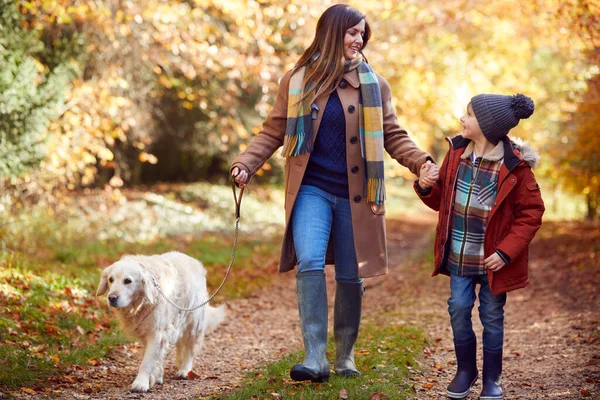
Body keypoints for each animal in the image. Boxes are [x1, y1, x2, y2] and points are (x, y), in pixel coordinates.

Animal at [96, 252, 227, 392]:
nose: (112, 298)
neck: (142, 301)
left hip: (193, 323)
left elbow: (147, 361)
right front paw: (154, 377)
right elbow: (153, 356)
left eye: (128, 281)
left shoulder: (156, 332)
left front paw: (140, 383)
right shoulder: (150, 331)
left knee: (190, 349)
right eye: (111, 279)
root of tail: (193, 261)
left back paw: (184, 370)